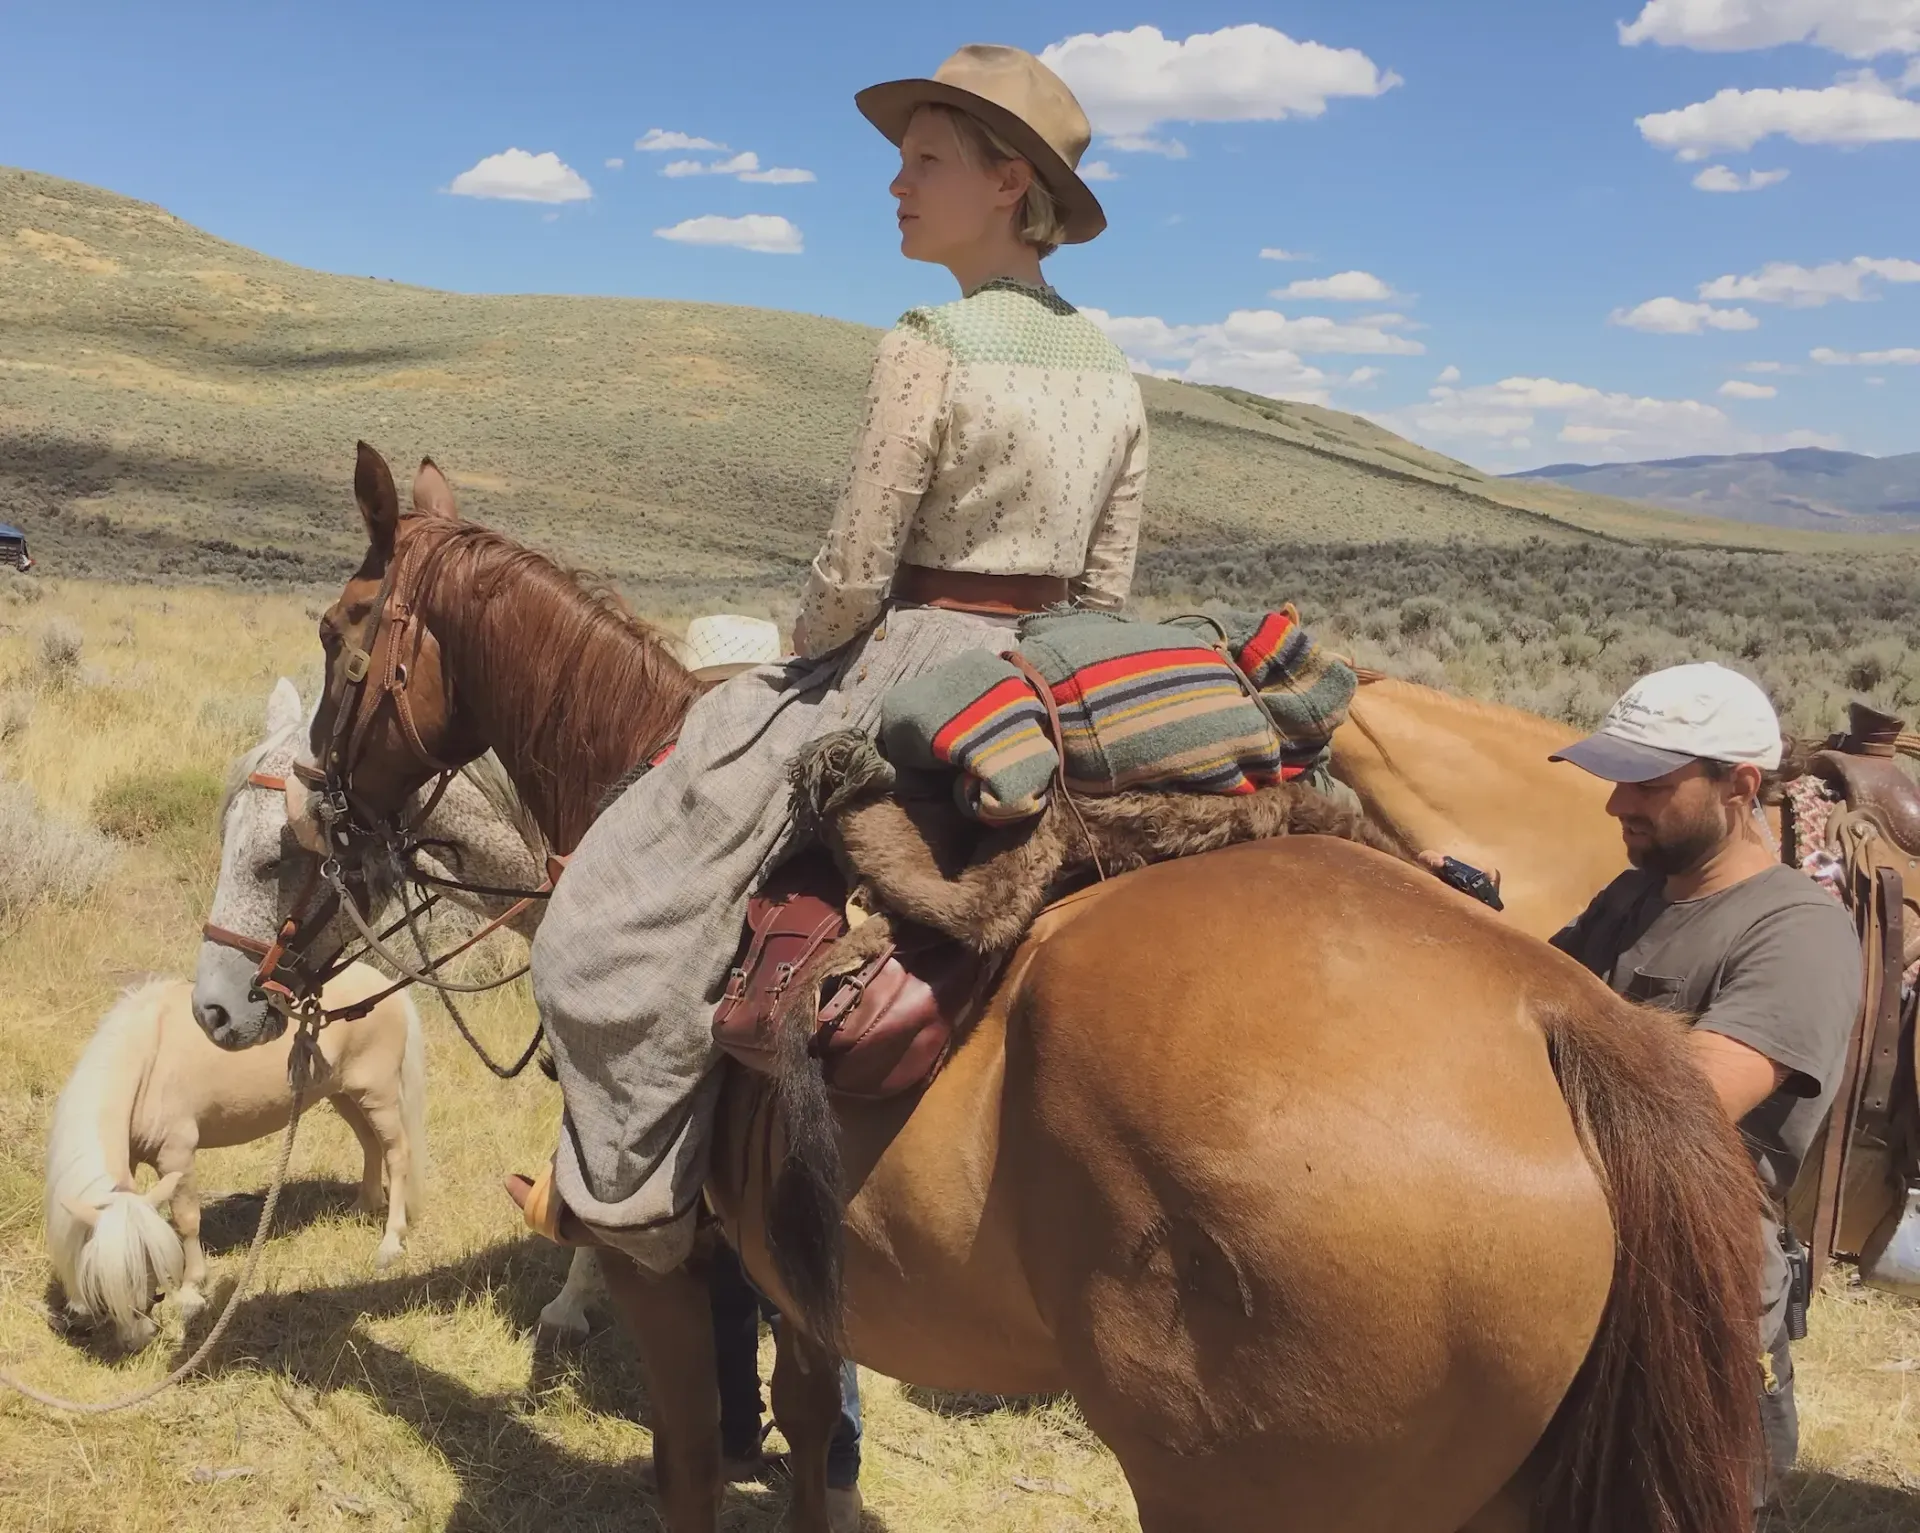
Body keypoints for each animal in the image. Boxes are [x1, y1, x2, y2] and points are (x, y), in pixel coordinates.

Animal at [45, 966, 423, 1351]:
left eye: (147, 1268)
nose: (139, 1338)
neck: (148, 1058)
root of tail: (385, 984)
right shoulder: (130, 1158)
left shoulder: (178, 1154)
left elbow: (187, 1220)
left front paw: (192, 1291)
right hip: (342, 1093)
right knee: (370, 1145)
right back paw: (362, 1207)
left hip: (377, 1093)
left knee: (397, 1153)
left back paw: (390, 1244)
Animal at [251, 443, 1765, 1533]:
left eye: (338, 631)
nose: (322, 810)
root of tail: (1558, 1018)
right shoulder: (800, 1268)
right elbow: (813, 1436)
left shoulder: (665, 1260)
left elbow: (690, 1465)